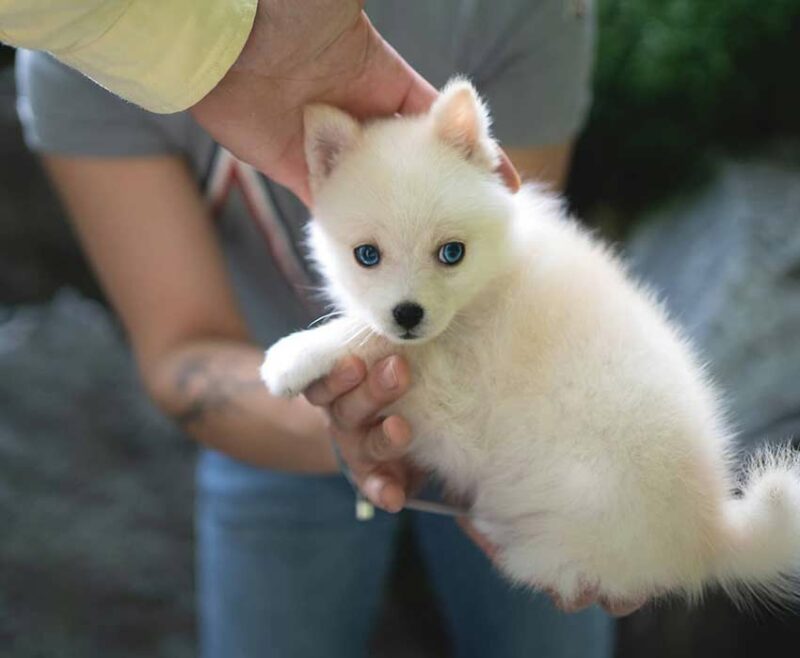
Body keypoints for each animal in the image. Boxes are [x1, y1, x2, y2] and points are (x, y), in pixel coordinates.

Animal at [262, 79, 800, 608]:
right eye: (367, 255)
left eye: (451, 253)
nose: (409, 314)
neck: (485, 290)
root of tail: (712, 534)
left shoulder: (451, 397)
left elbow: (370, 335)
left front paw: (294, 355)